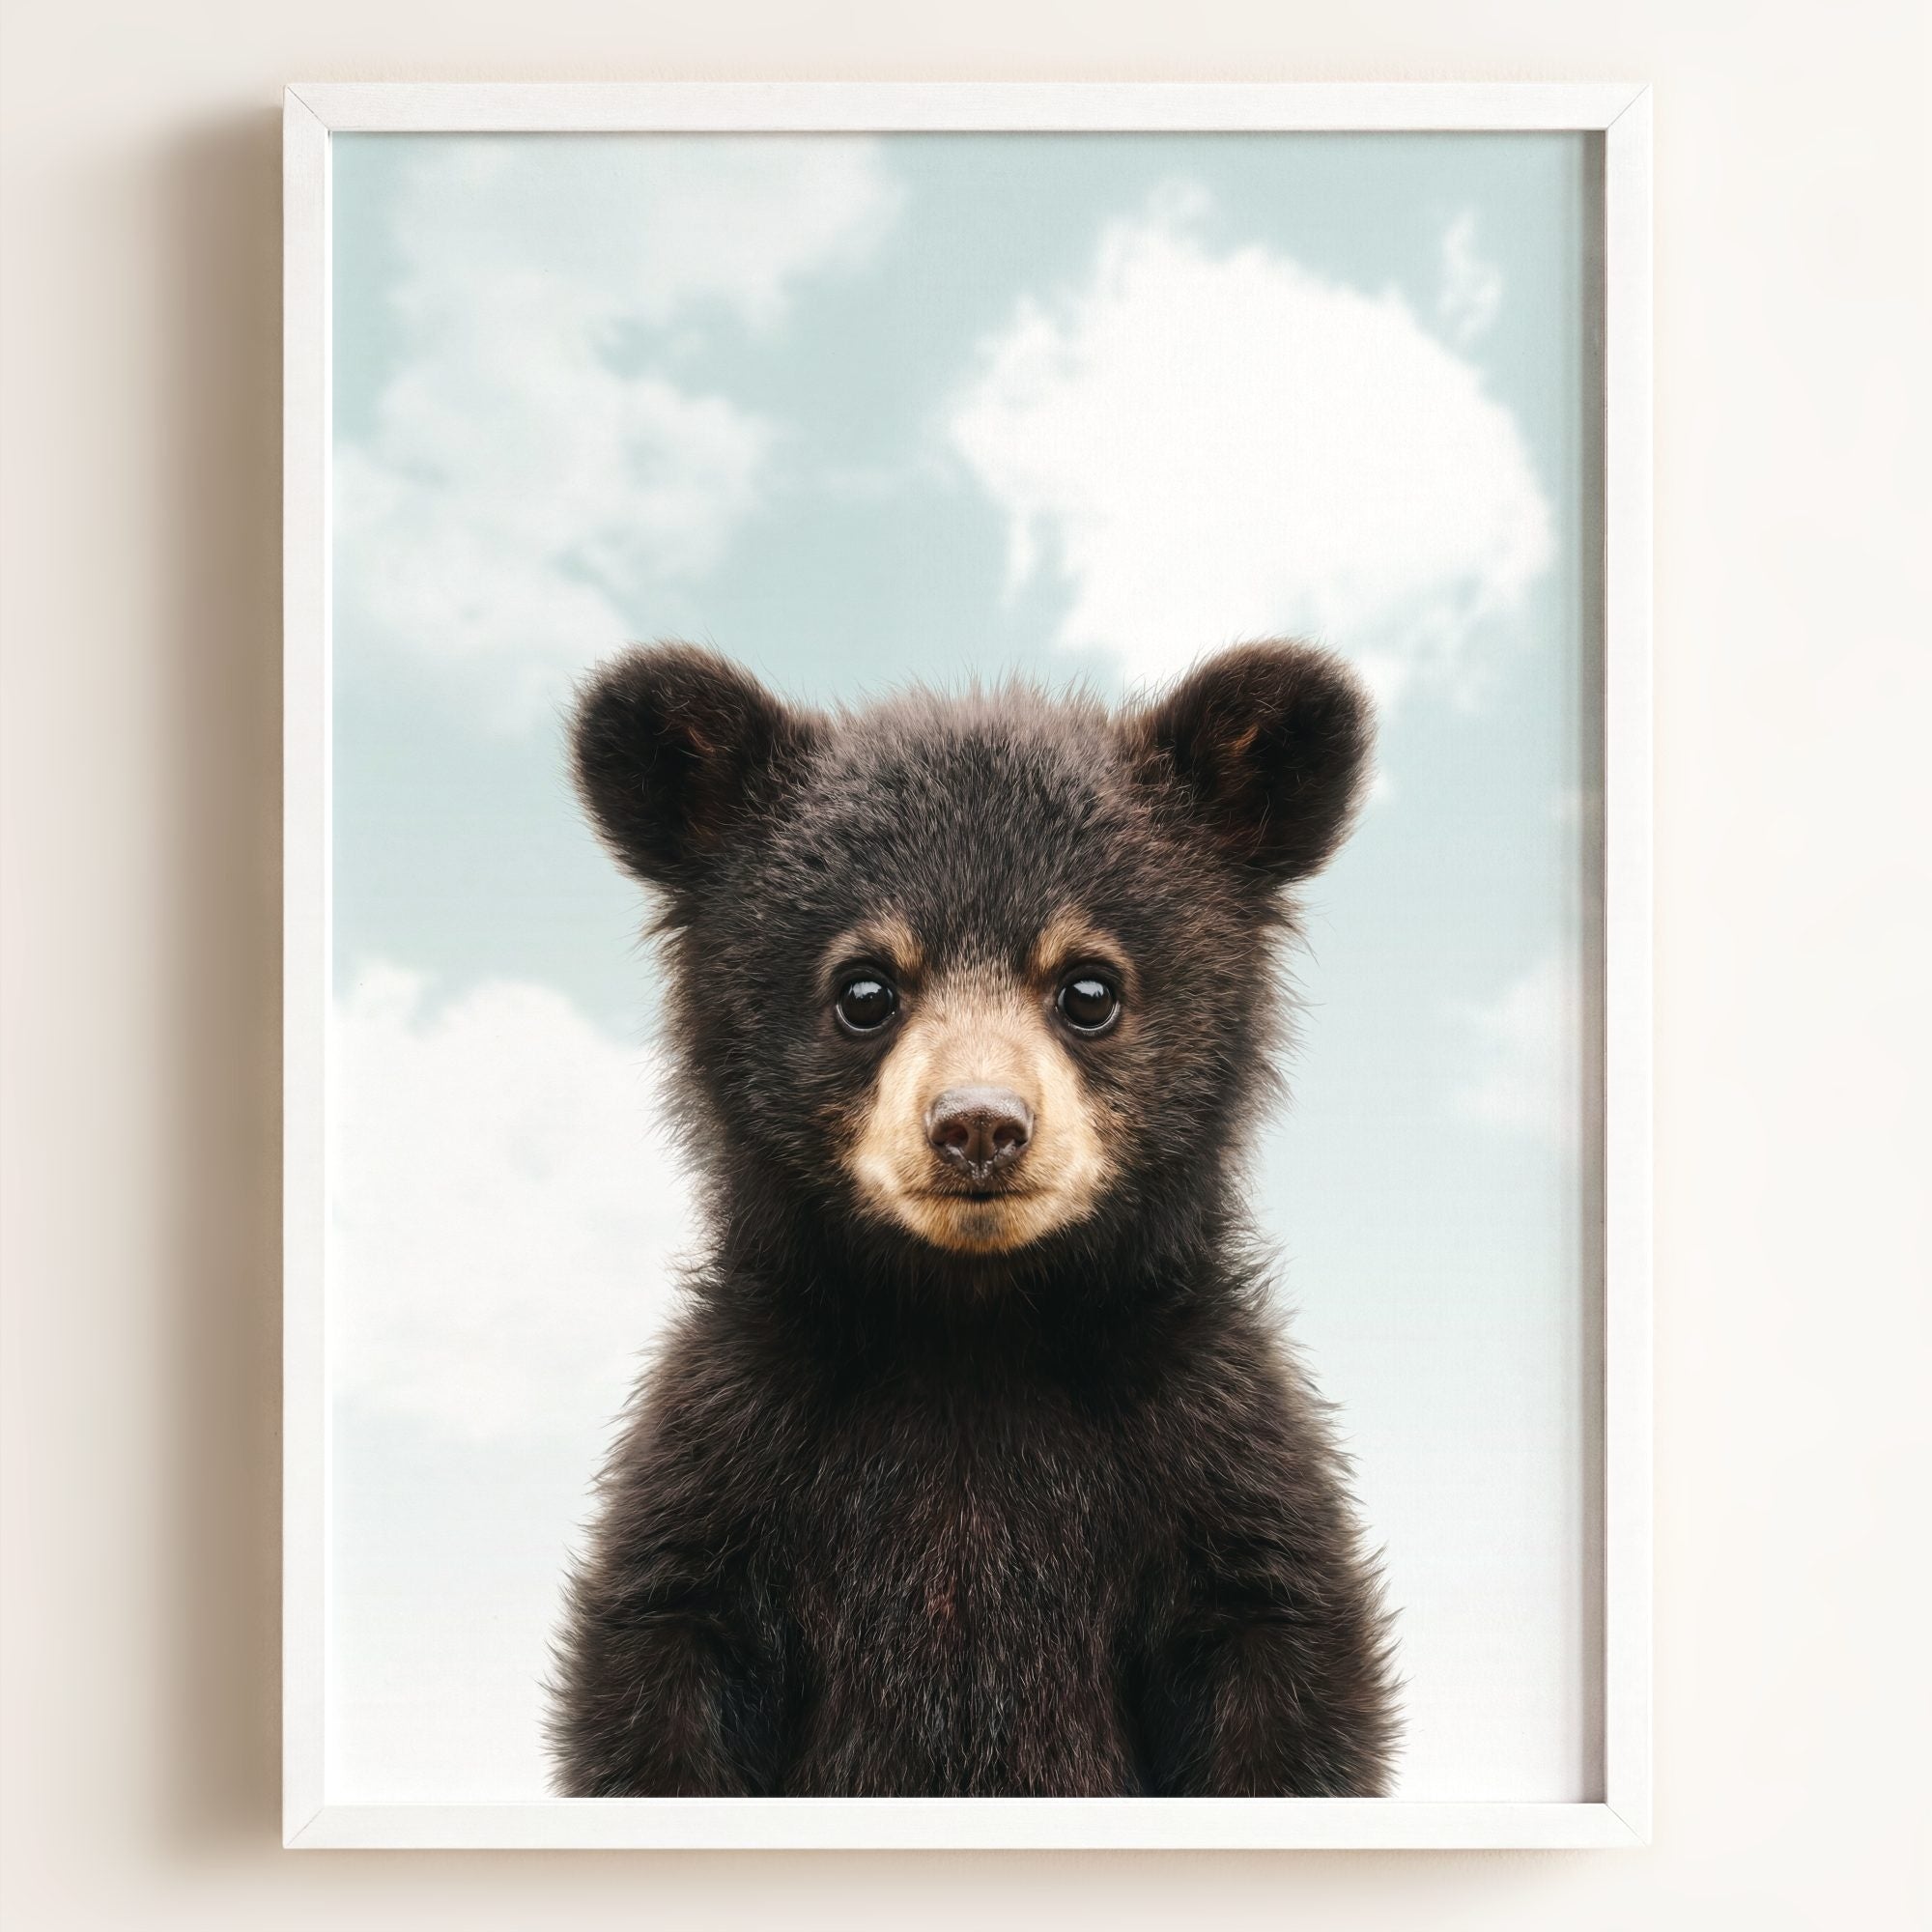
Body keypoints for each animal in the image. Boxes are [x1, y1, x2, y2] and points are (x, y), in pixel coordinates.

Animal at [548, 639, 1397, 1798]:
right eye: (864, 989)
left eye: (1089, 987)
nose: (980, 1126)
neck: (971, 1329)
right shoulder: (729, 1454)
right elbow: (659, 1668)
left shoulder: (1214, 1452)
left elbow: (1281, 1667)